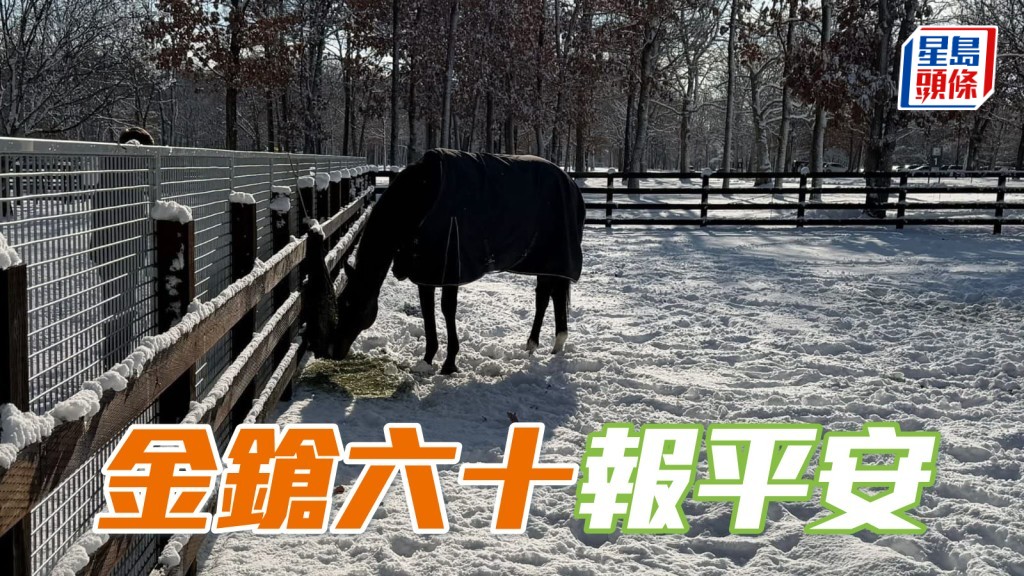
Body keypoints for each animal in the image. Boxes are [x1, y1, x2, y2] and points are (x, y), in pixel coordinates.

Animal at [331, 148, 586, 374]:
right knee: (549, 295)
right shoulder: (426, 270)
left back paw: (544, 344)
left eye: (354, 305)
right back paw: (548, 345)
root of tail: (571, 184)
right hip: (546, 261)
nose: (334, 351)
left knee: (547, 295)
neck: (423, 196)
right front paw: (427, 360)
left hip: (553, 258)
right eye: (341, 302)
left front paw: (450, 362)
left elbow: (447, 308)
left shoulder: (451, 266)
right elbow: (427, 310)